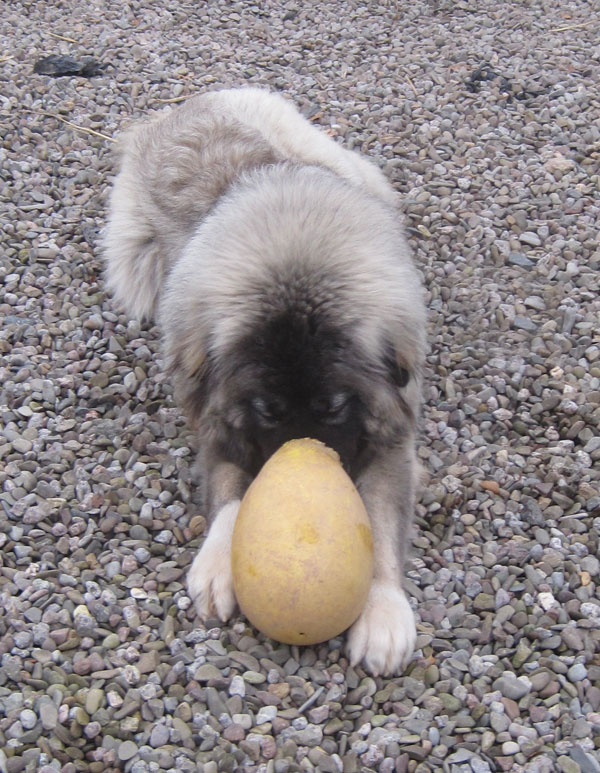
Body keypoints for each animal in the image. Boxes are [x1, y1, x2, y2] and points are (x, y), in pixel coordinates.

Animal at [102, 87, 426, 672]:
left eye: (334, 405)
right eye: (267, 411)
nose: (316, 464)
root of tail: (181, 109)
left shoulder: (393, 434)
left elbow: (384, 525)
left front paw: (384, 610)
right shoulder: (214, 416)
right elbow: (230, 484)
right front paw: (217, 562)